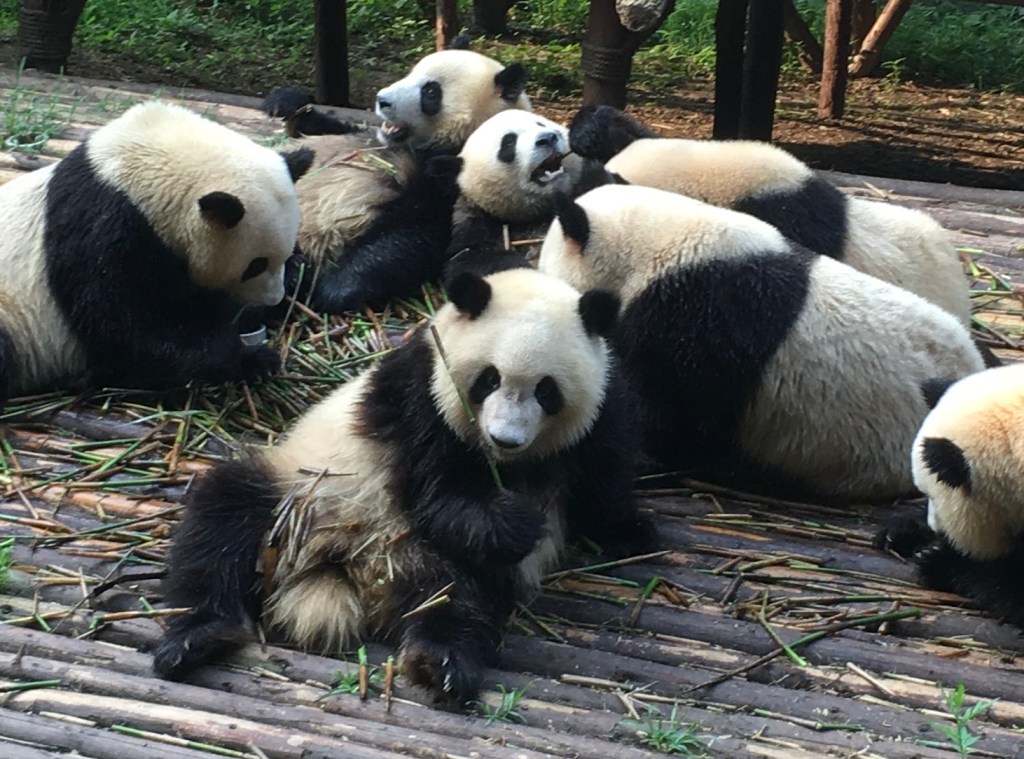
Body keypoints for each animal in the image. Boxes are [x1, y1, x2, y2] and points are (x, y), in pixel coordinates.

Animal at [0, 100, 312, 407]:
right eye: (255, 265)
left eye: (284, 253)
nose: (274, 297)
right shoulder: (102, 229)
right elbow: (121, 322)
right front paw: (252, 359)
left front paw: (296, 277)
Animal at [152, 267, 654, 703]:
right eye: (488, 379)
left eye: (546, 391)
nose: (504, 438)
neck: (506, 465)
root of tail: (352, 571)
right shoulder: (422, 397)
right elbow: (438, 495)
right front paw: (516, 521)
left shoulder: (602, 411)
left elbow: (603, 478)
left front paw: (630, 531)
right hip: (300, 493)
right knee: (223, 518)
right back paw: (196, 636)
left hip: (433, 560)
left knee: (460, 598)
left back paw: (442, 663)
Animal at [266, 50, 531, 314]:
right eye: (411, 73)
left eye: (431, 92)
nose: (381, 100)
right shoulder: (369, 138)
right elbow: (323, 127)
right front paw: (285, 101)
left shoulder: (456, 179)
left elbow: (413, 234)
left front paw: (335, 288)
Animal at [430, 109, 621, 279]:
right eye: (508, 142)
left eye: (541, 124)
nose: (548, 138)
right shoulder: (477, 219)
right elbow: (468, 258)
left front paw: (587, 131)